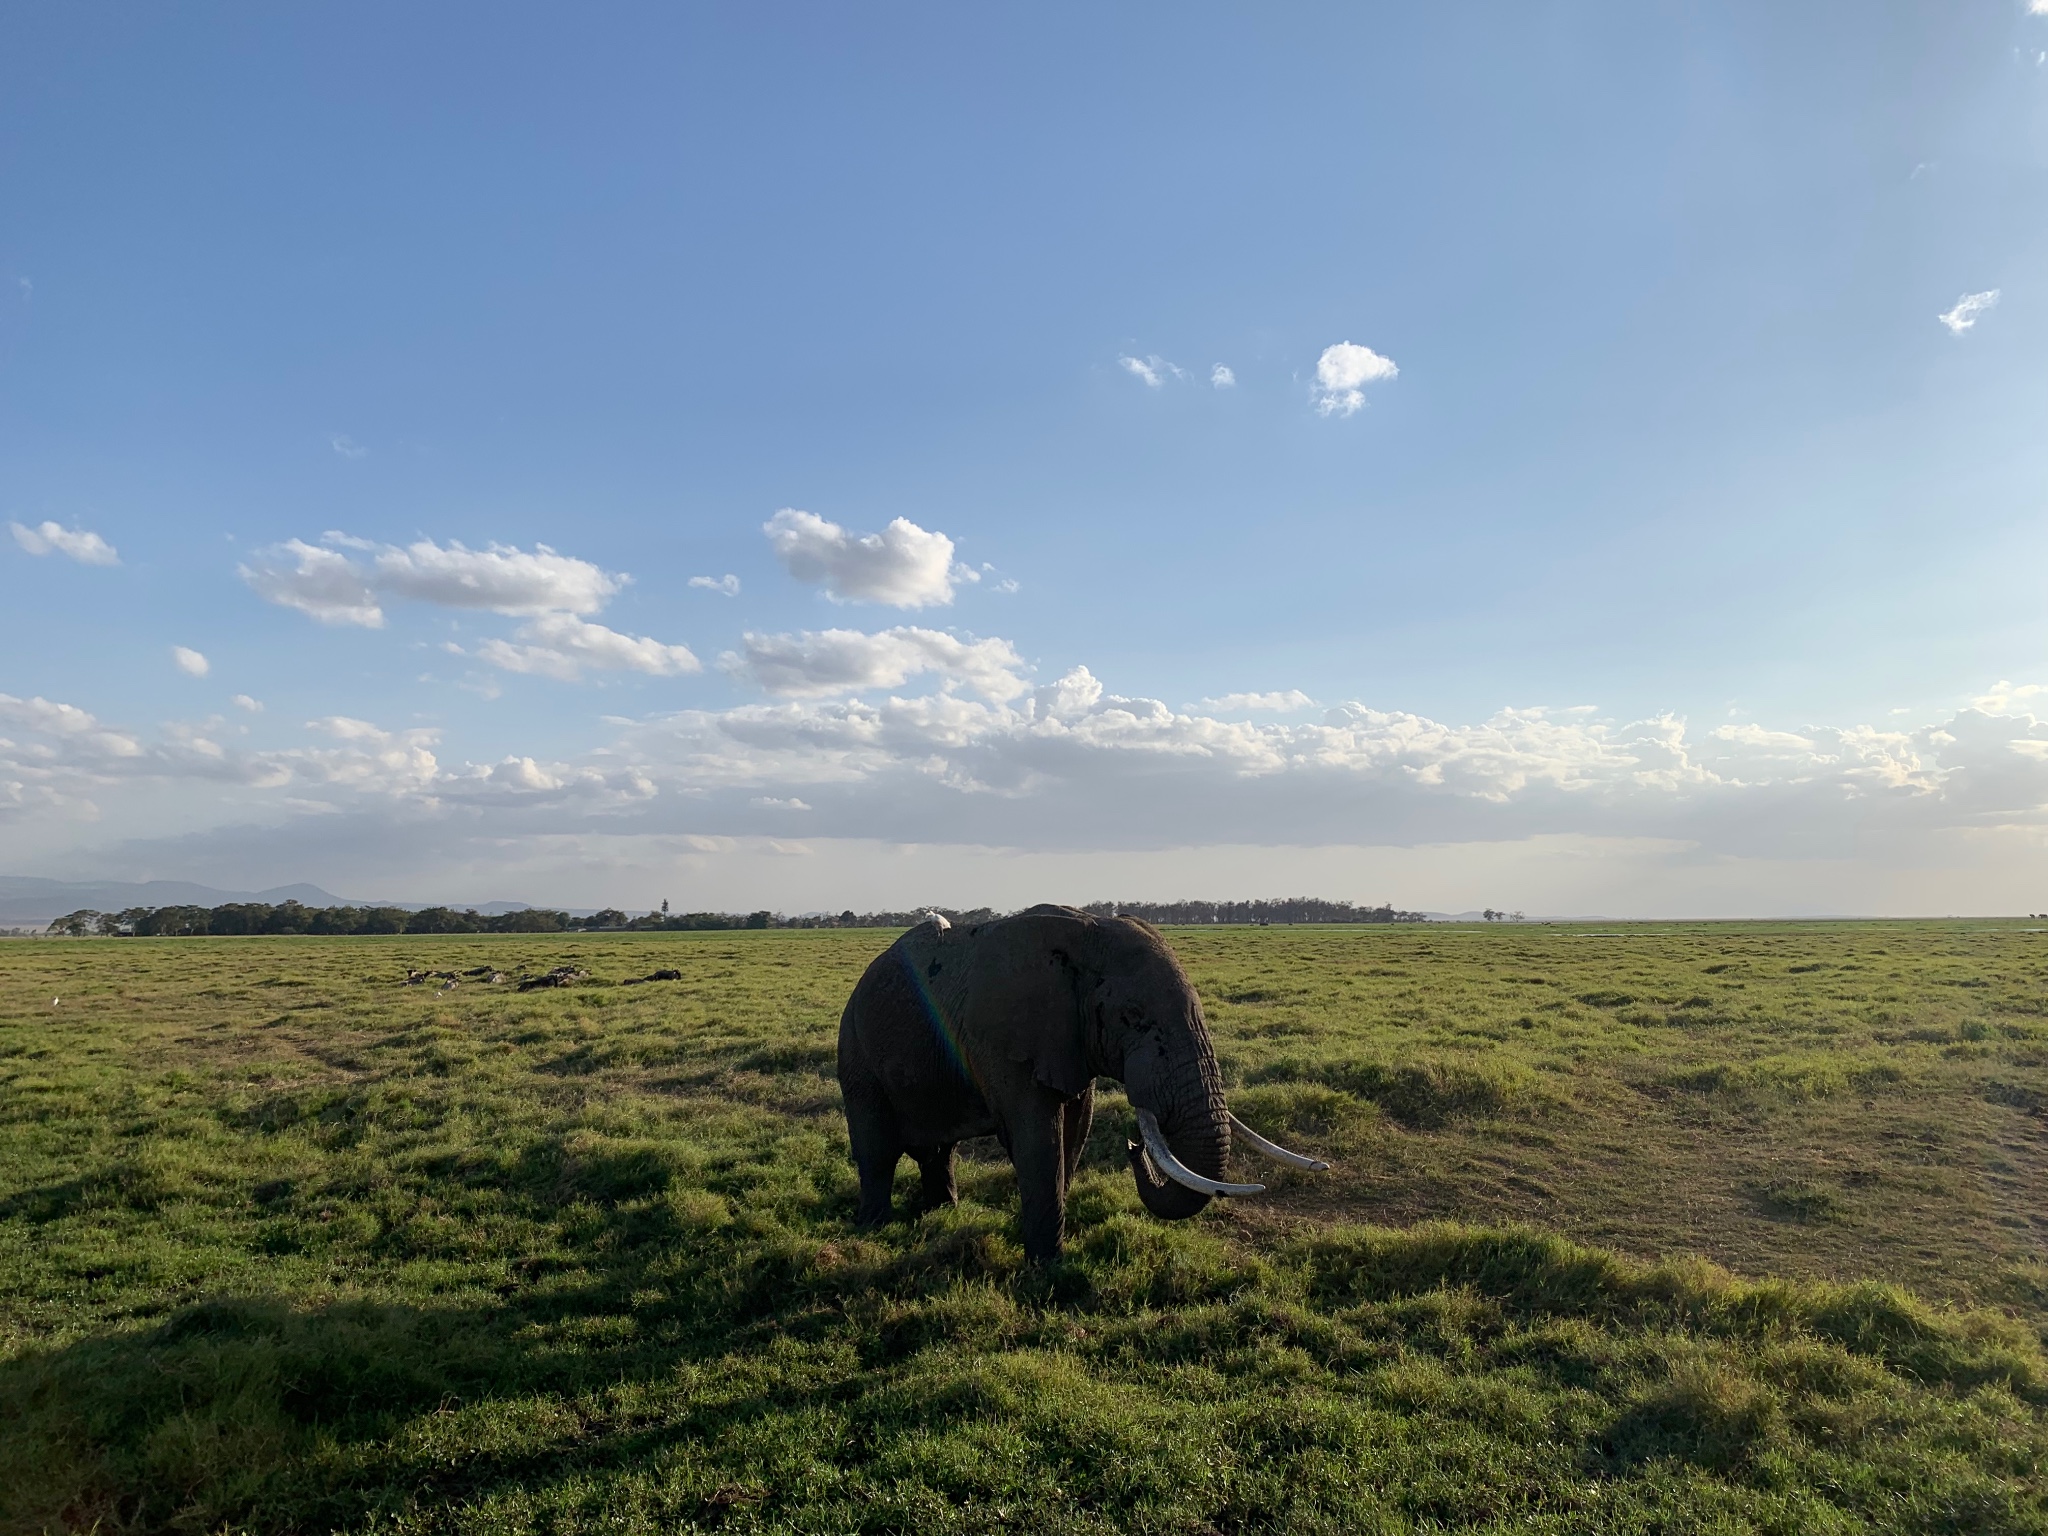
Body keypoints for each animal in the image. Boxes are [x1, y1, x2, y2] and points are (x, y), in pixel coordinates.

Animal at [831, 901, 1327, 1261]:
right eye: (1133, 1017)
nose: (1134, 1145)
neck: (1084, 932)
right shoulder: (1003, 1037)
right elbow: (1038, 1138)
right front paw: (1046, 1270)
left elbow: (1075, 1129)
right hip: (854, 1048)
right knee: (877, 1148)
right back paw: (873, 1226)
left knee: (939, 1150)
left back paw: (941, 1211)